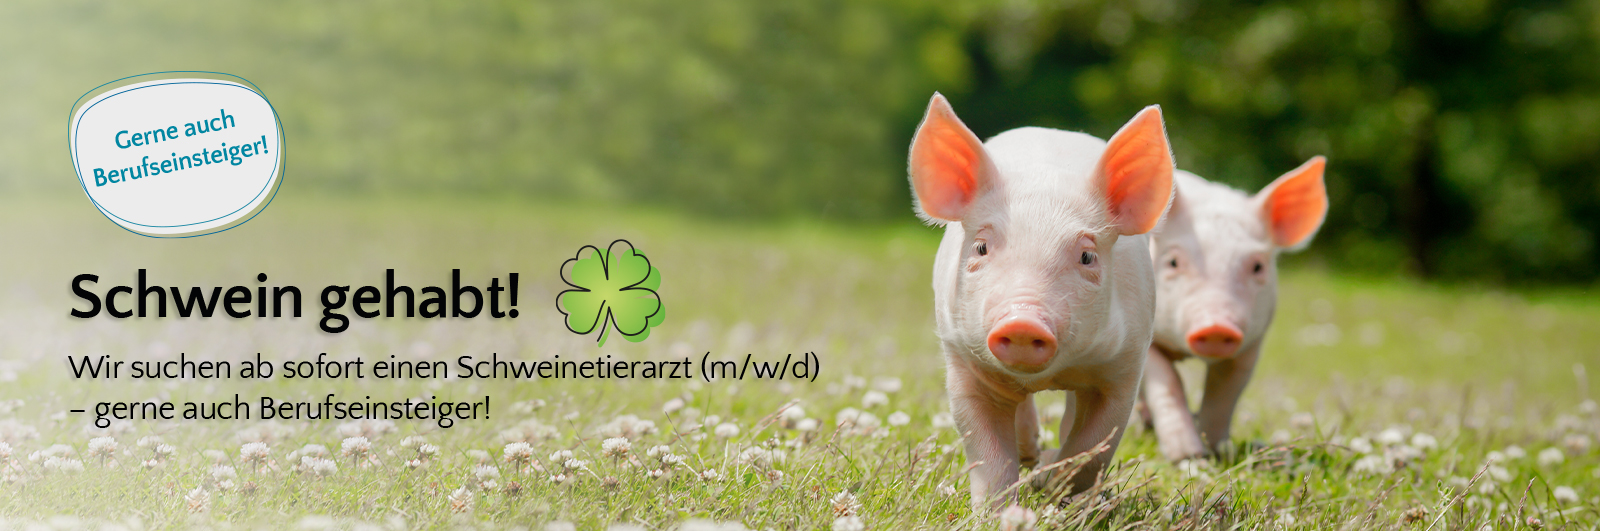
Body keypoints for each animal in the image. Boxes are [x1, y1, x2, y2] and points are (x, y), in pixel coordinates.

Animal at [908, 93, 1175, 508]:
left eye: (1087, 256)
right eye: (981, 247)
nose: (1022, 321)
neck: (1050, 376)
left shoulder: (1125, 364)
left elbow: (1093, 446)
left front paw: (1055, 488)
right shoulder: (963, 359)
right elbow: (988, 457)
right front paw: (997, 511)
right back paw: (1030, 452)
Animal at [1138, 159, 1328, 462]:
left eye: (1258, 266)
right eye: (1173, 262)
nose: (1216, 326)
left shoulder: (1251, 345)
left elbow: (1224, 393)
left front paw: (1218, 452)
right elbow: (1167, 382)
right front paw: (1187, 456)